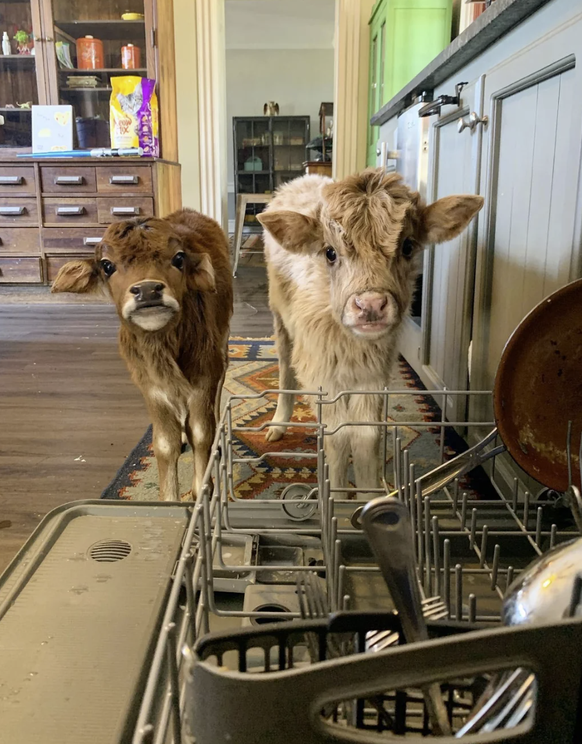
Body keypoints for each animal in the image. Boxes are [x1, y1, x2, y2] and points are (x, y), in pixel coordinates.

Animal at [51, 209, 233, 501]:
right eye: (107, 265)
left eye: (178, 258)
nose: (148, 290)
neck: (163, 349)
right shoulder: (151, 387)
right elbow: (164, 444)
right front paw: (169, 499)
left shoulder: (204, 377)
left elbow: (201, 433)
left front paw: (201, 490)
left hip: (222, 345)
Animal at [258, 168, 483, 499]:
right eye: (329, 253)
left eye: (408, 246)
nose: (371, 305)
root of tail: (306, 178)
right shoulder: (323, 372)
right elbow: (338, 439)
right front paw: (338, 499)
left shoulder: (372, 375)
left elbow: (366, 437)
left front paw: (368, 497)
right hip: (279, 315)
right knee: (286, 368)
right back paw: (278, 423)